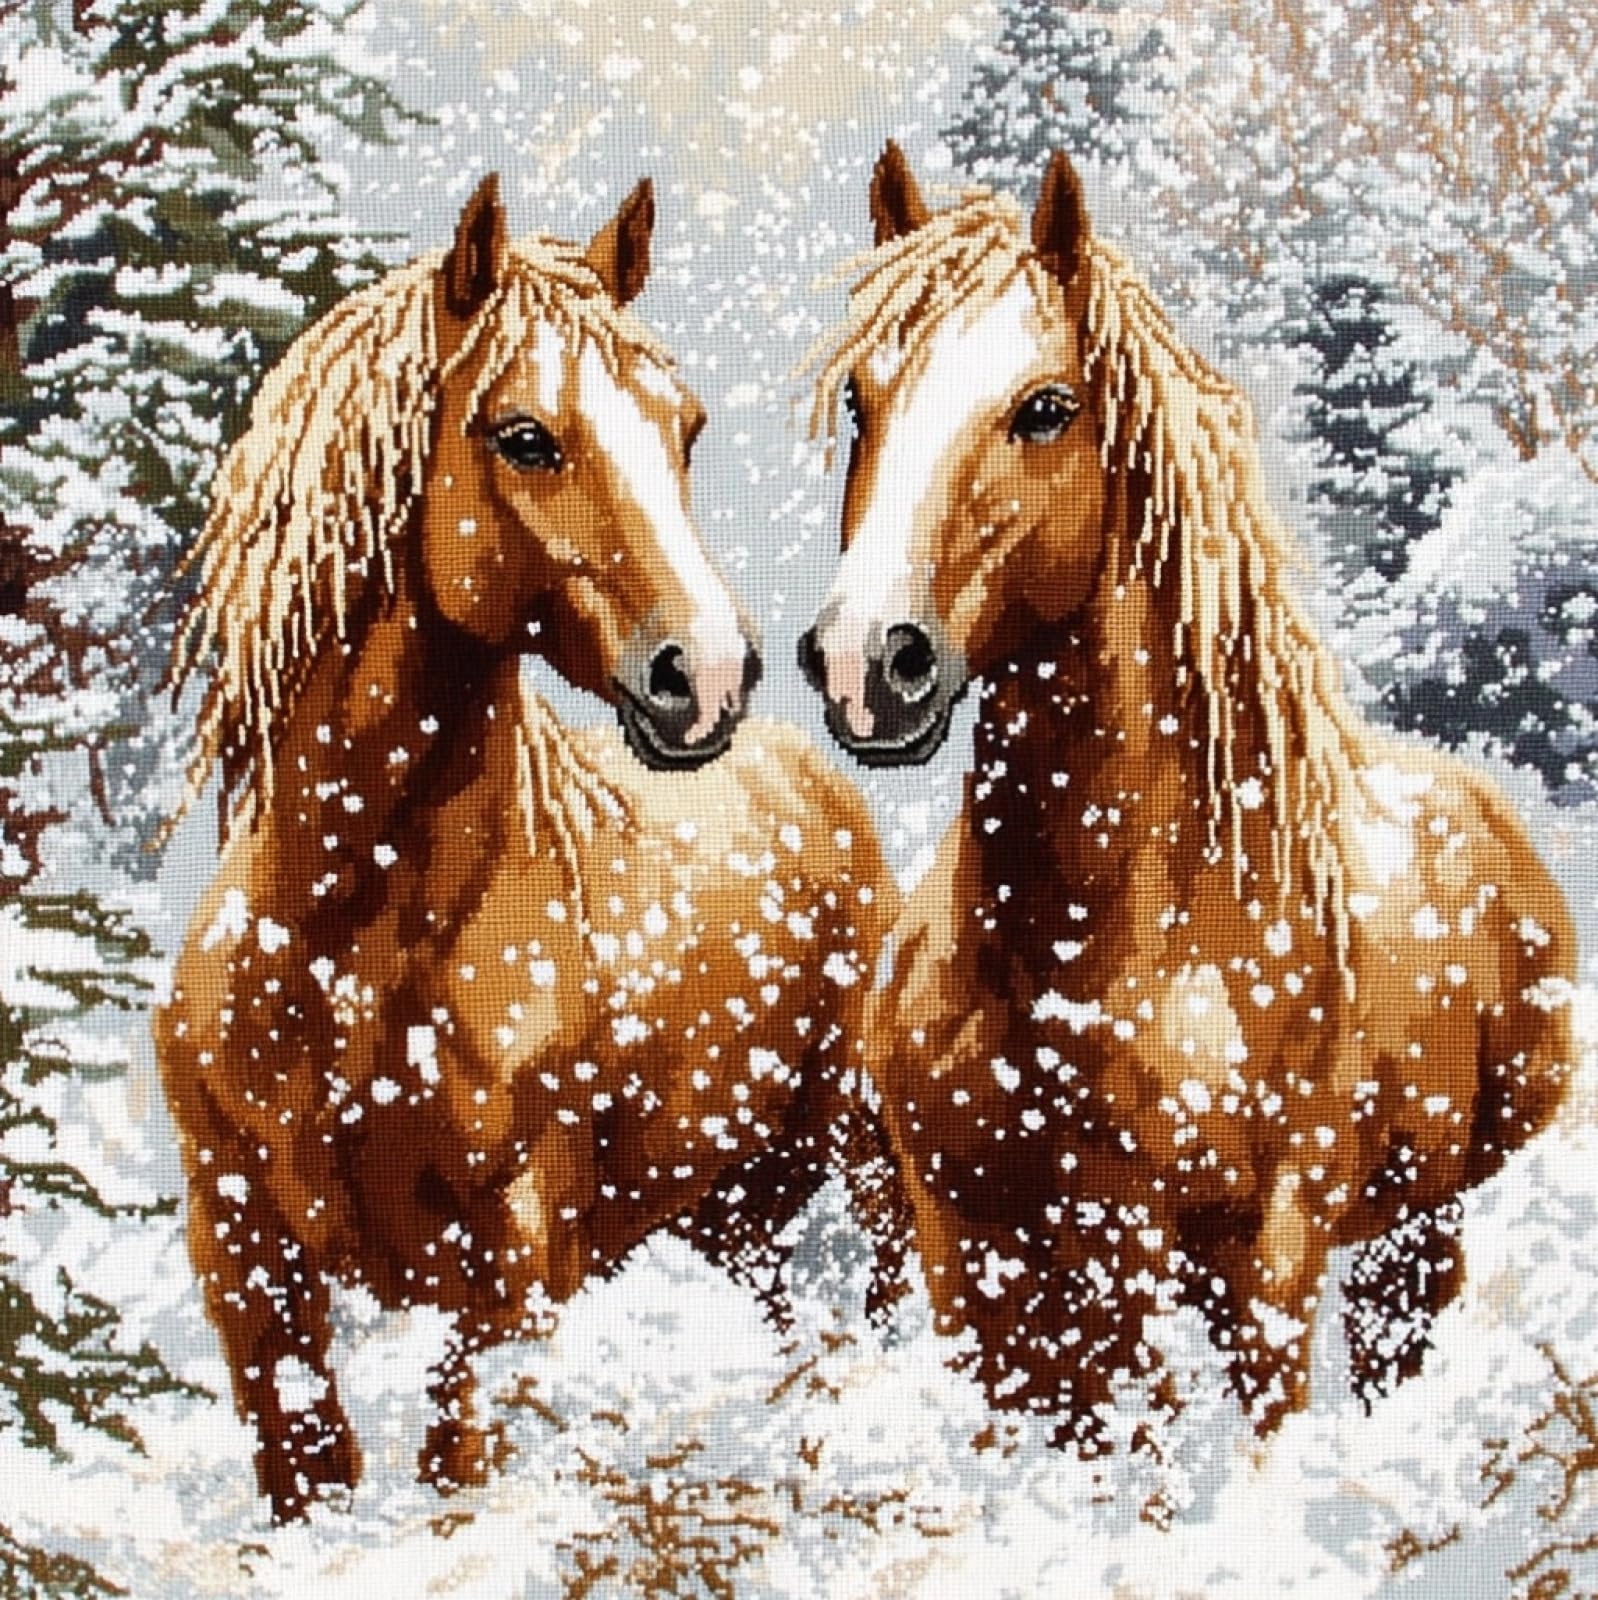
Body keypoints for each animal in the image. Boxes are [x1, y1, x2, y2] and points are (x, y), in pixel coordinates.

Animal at [153, 174, 899, 1521]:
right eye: (523, 436)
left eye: (683, 428)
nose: (710, 674)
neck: (349, 944)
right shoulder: (247, 1272)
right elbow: (310, 1482)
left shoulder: (507, 1276)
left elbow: (461, 1468)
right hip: (731, 1210)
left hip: (860, 1166)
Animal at [797, 143, 1577, 1452]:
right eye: (861, 400)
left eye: (1044, 408)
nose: (868, 661)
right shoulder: (981, 1266)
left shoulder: (1249, 1267)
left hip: (1413, 1239)